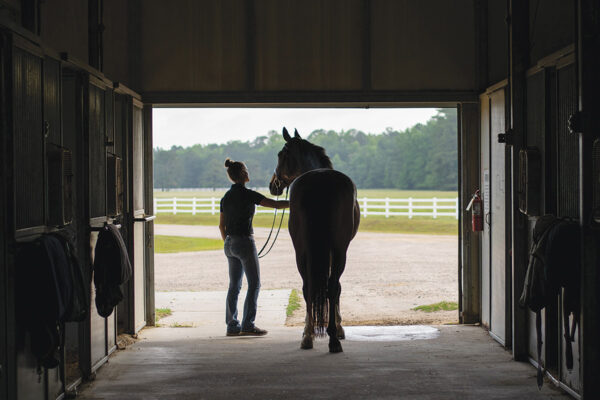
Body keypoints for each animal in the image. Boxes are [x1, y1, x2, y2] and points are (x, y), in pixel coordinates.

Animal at [270, 126, 358, 352]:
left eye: (280, 155)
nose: (273, 185)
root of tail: (320, 182)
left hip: (305, 249)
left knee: (314, 286)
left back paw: (313, 336)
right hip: (336, 249)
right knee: (329, 286)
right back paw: (326, 338)